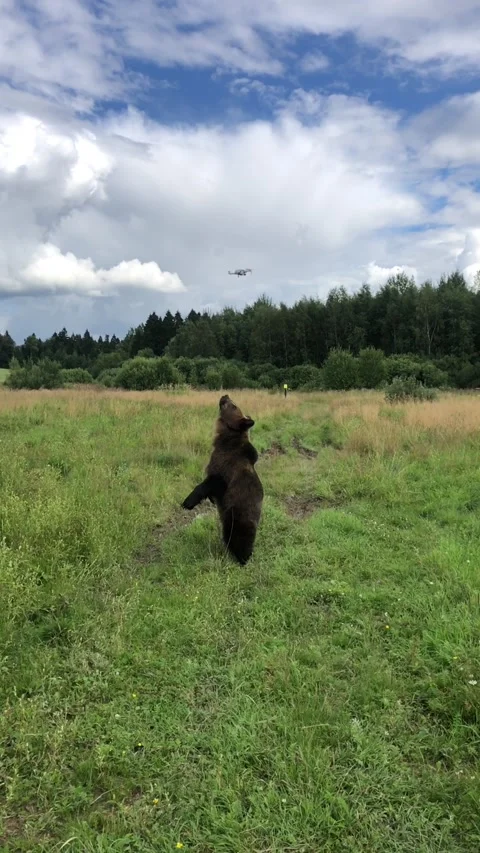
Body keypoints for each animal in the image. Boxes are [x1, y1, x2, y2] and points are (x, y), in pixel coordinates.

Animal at [181, 394, 264, 565]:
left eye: (234, 405)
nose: (225, 395)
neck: (226, 438)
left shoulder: (224, 470)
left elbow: (209, 483)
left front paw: (188, 502)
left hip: (237, 518)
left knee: (241, 538)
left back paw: (241, 558)